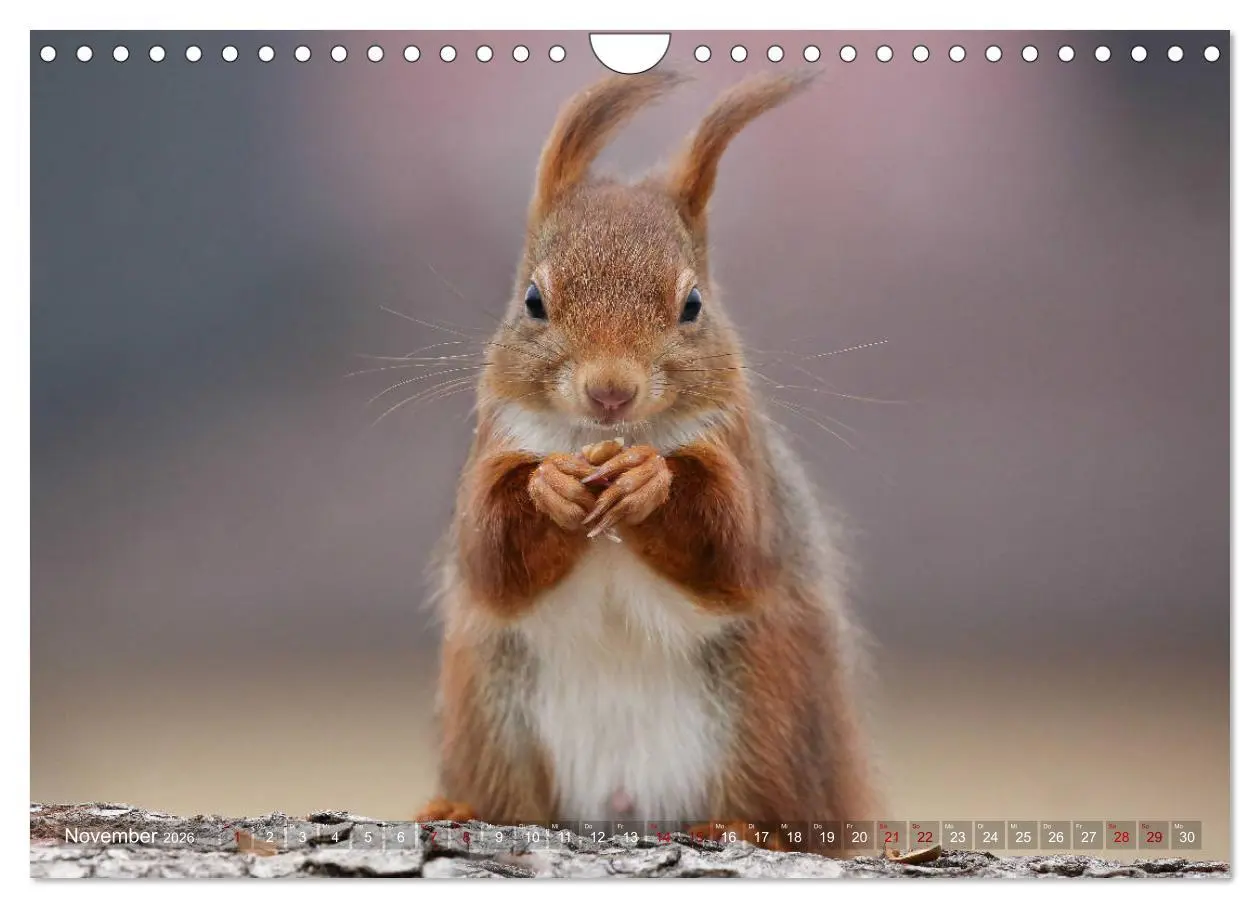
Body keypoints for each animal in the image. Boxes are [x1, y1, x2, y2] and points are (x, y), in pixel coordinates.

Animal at [417, 70, 880, 853]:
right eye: (533, 301)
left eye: (693, 304)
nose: (611, 390)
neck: (599, 437)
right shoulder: (495, 444)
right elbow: (490, 556)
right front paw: (549, 485)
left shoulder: (741, 457)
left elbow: (733, 544)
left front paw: (650, 480)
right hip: (491, 711)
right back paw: (459, 809)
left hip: (766, 714)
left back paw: (743, 826)